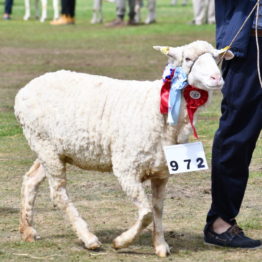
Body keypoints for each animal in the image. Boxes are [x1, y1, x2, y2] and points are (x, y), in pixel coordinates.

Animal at [14, 40, 233, 256]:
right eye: (187, 58)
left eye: (217, 57)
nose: (217, 78)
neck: (159, 109)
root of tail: (25, 90)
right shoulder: (126, 168)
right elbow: (146, 214)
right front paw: (121, 242)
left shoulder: (161, 172)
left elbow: (158, 210)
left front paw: (160, 245)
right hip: (45, 146)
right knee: (58, 193)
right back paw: (89, 238)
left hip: (53, 150)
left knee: (30, 180)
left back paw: (28, 230)